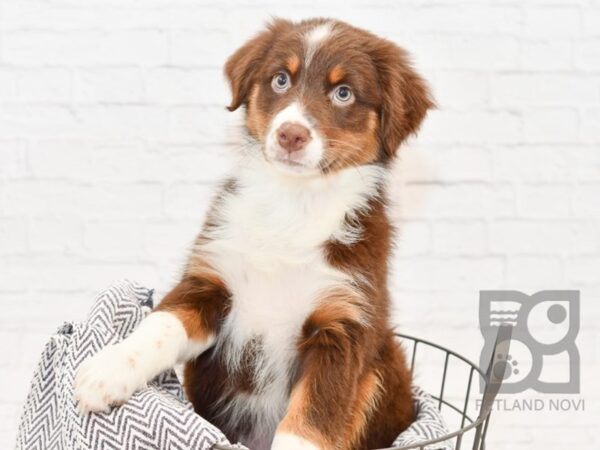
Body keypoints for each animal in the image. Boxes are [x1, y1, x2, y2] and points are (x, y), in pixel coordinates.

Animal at [74, 17, 432, 450]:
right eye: (280, 79)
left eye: (343, 93)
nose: (291, 134)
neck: (292, 204)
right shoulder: (212, 280)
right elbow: (162, 324)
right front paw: (107, 370)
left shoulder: (344, 324)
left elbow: (311, 417)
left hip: (385, 362)